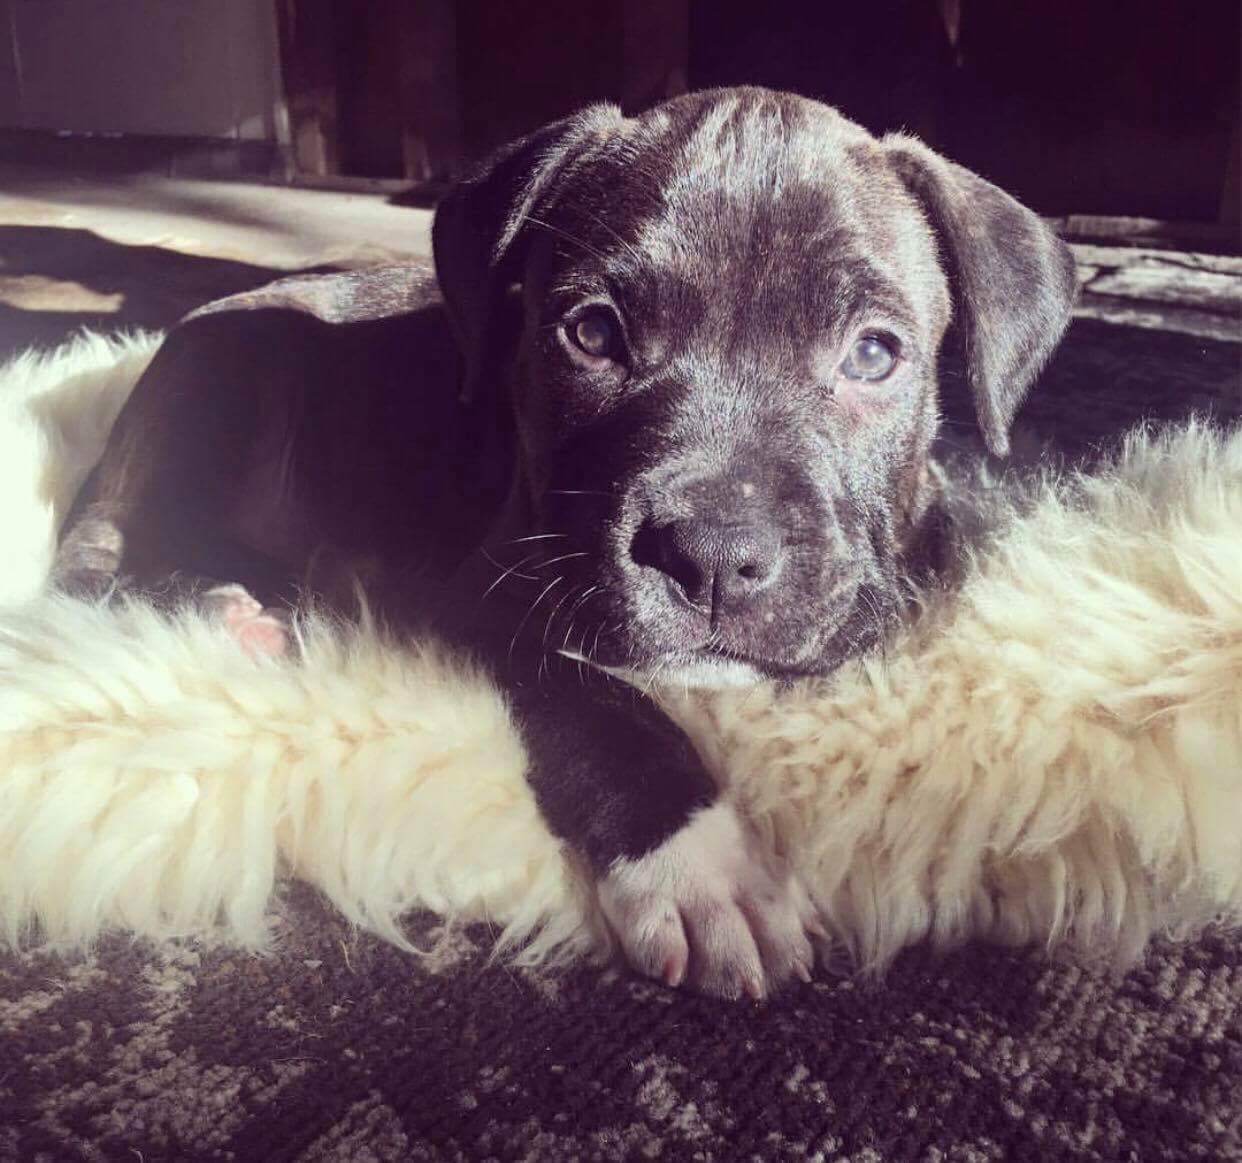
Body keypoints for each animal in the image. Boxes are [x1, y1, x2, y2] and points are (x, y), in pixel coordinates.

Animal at [54, 87, 1076, 998]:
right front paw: (702, 863)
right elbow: (599, 698)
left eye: (872, 354)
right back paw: (222, 607)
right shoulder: (486, 589)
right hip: (217, 377)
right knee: (89, 561)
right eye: (592, 334)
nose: (713, 555)